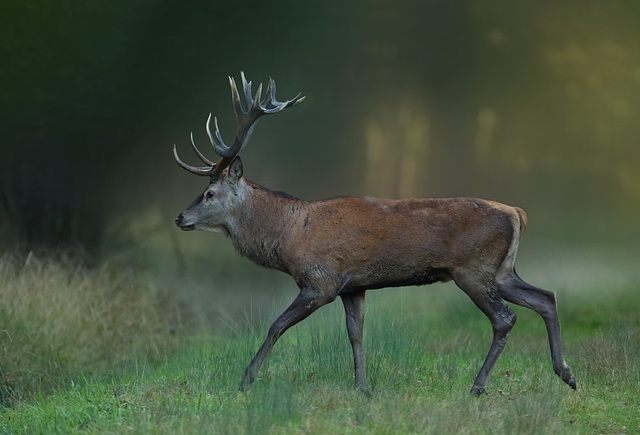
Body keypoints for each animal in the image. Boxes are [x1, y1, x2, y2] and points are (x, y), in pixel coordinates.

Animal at [172, 72, 576, 396]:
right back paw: (566, 373)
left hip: (473, 269)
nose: (179, 218)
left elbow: (276, 325)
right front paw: (362, 386)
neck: (288, 235)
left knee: (505, 318)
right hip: (501, 270)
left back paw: (478, 386)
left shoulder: (320, 281)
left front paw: (246, 378)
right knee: (546, 297)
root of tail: (517, 213)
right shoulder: (353, 287)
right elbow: (356, 334)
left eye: (209, 193)